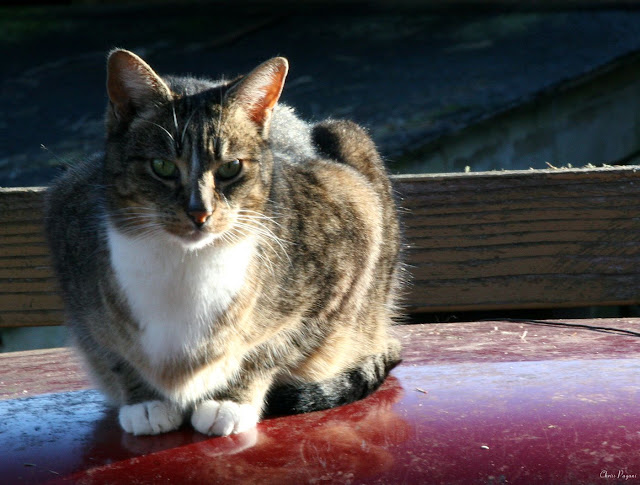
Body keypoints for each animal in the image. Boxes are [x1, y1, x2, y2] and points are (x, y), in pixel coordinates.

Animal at [45, 48, 402, 434]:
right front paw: (145, 402)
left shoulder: (352, 228)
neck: (186, 264)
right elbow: (113, 353)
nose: (199, 213)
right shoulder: (69, 238)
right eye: (162, 166)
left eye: (231, 168)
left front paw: (229, 401)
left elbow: (271, 346)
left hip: (353, 144)